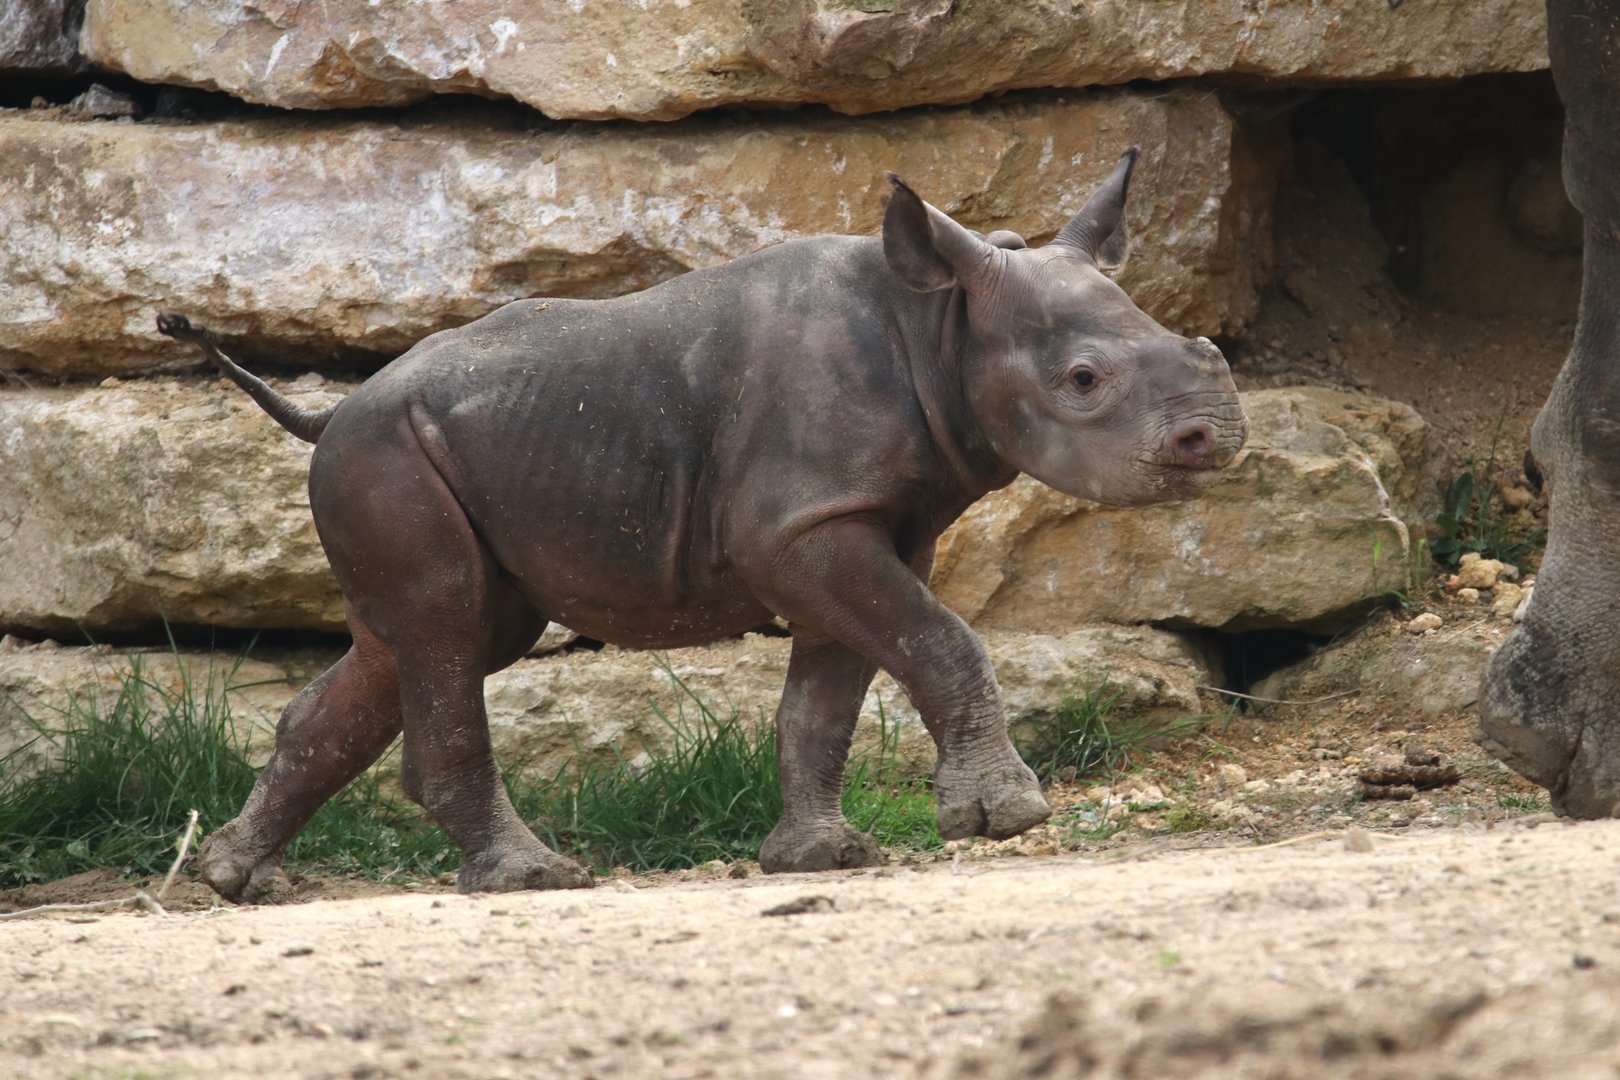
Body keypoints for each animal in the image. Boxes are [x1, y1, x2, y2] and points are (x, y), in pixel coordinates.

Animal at [159, 148, 1247, 900]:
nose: (1219, 436)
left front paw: (822, 858)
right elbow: (942, 639)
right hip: (385, 454)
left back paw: (236, 880)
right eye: (1083, 381)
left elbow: (829, 694)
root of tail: (332, 409)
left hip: (417, 453)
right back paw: (533, 879)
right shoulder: (802, 524)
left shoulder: (856, 521)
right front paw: (1004, 820)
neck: (939, 326)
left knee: (421, 642)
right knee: (447, 627)